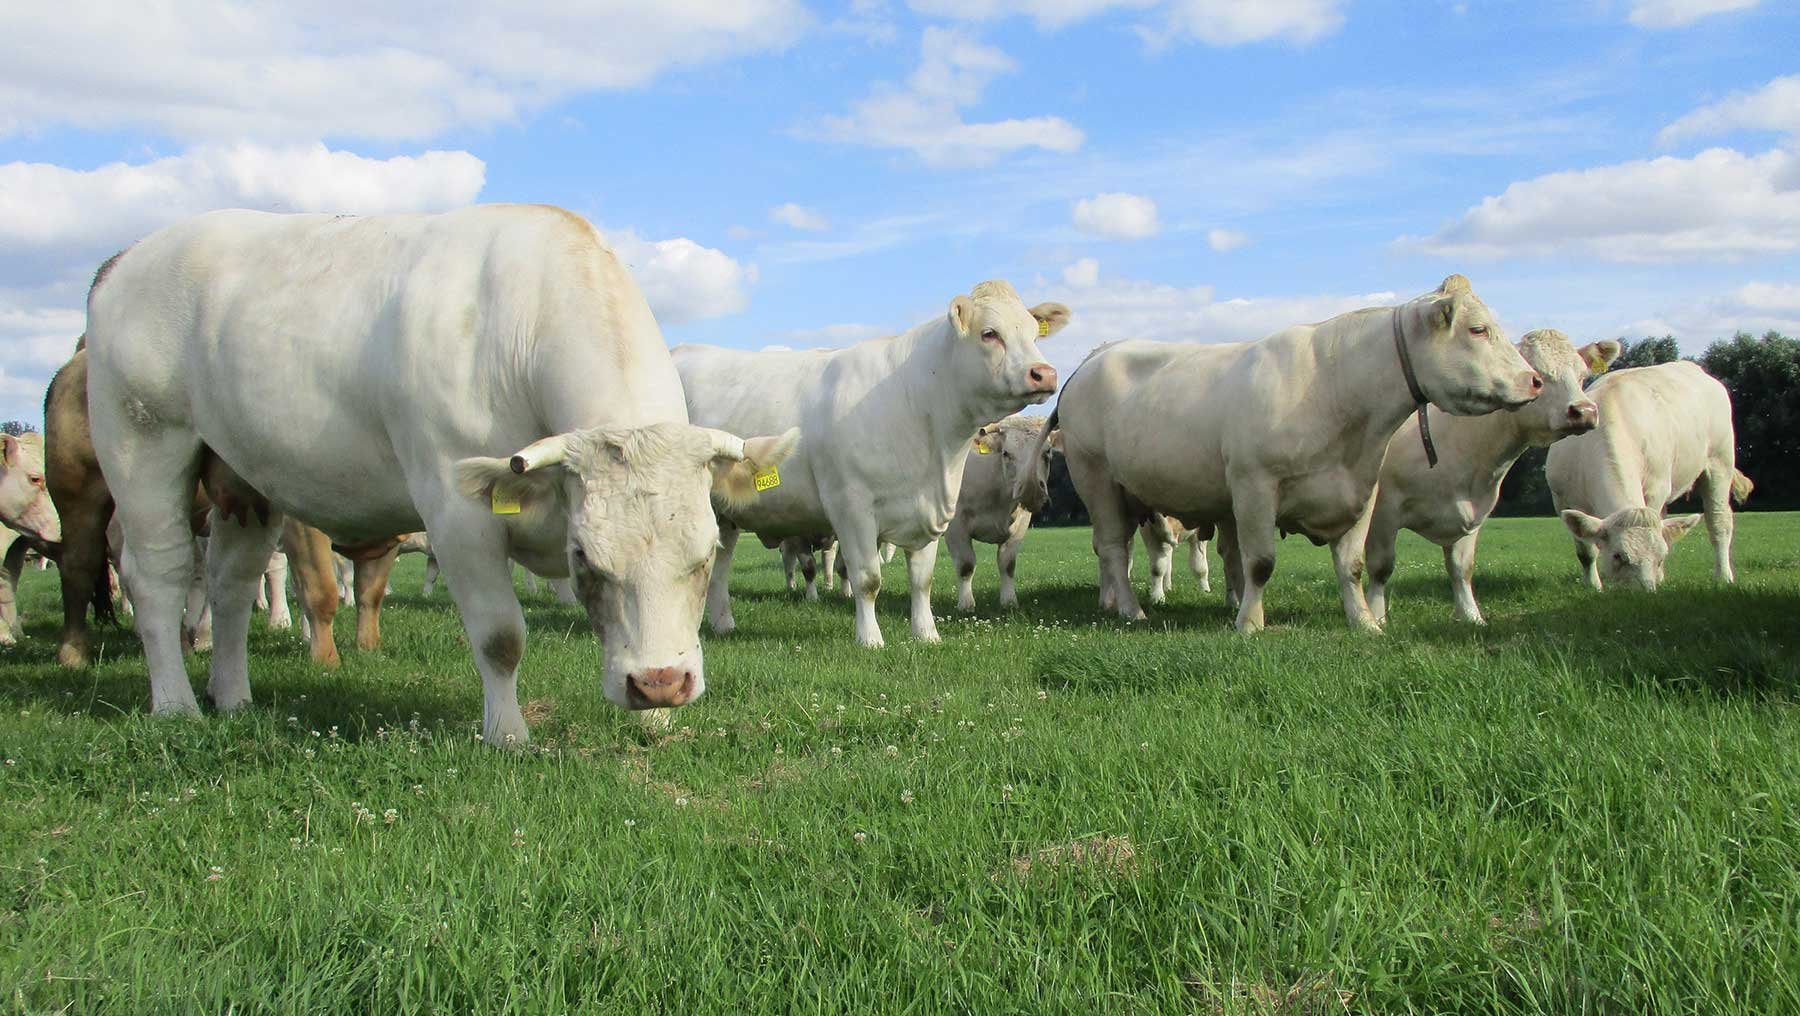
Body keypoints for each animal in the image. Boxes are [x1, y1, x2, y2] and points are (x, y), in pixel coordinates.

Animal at [83, 205, 794, 743]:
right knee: (157, 576)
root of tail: (129, 257)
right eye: (585, 560)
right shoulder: (457, 513)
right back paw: (175, 704)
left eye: (705, 556)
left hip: (245, 481)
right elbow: (501, 636)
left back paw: (232, 696)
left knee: (231, 583)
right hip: (142, 440)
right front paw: (507, 736)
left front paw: (659, 724)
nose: (657, 684)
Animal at [943, 415, 1057, 611]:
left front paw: (1009, 602)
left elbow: (1007, 564)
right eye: (1006, 453)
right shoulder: (956, 524)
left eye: (1047, 452)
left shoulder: (1021, 522)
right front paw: (966, 605)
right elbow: (966, 565)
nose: (1032, 491)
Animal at [1032, 275, 1542, 632]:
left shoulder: (1362, 490)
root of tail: (1093, 358)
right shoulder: (1255, 485)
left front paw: (1364, 623)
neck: (1337, 394)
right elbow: (1260, 563)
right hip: (1096, 477)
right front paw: (1250, 624)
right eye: (1478, 329)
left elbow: (1352, 566)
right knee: (1112, 547)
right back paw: (1131, 610)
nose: (1534, 380)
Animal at [1365, 330, 1621, 624]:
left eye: (1581, 375)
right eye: (1538, 377)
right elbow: (1381, 566)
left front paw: (1471, 615)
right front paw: (1375, 616)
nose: (1585, 411)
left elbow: (1461, 568)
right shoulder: (1384, 510)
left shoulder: (1473, 511)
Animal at [1546, 361, 1749, 591]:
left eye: (1660, 558)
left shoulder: (1656, 488)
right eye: (1618, 556)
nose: (1644, 592)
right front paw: (1593, 586)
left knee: (1718, 521)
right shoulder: (1562, 498)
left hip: (1720, 461)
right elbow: (1586, 552)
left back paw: (1723, 576)